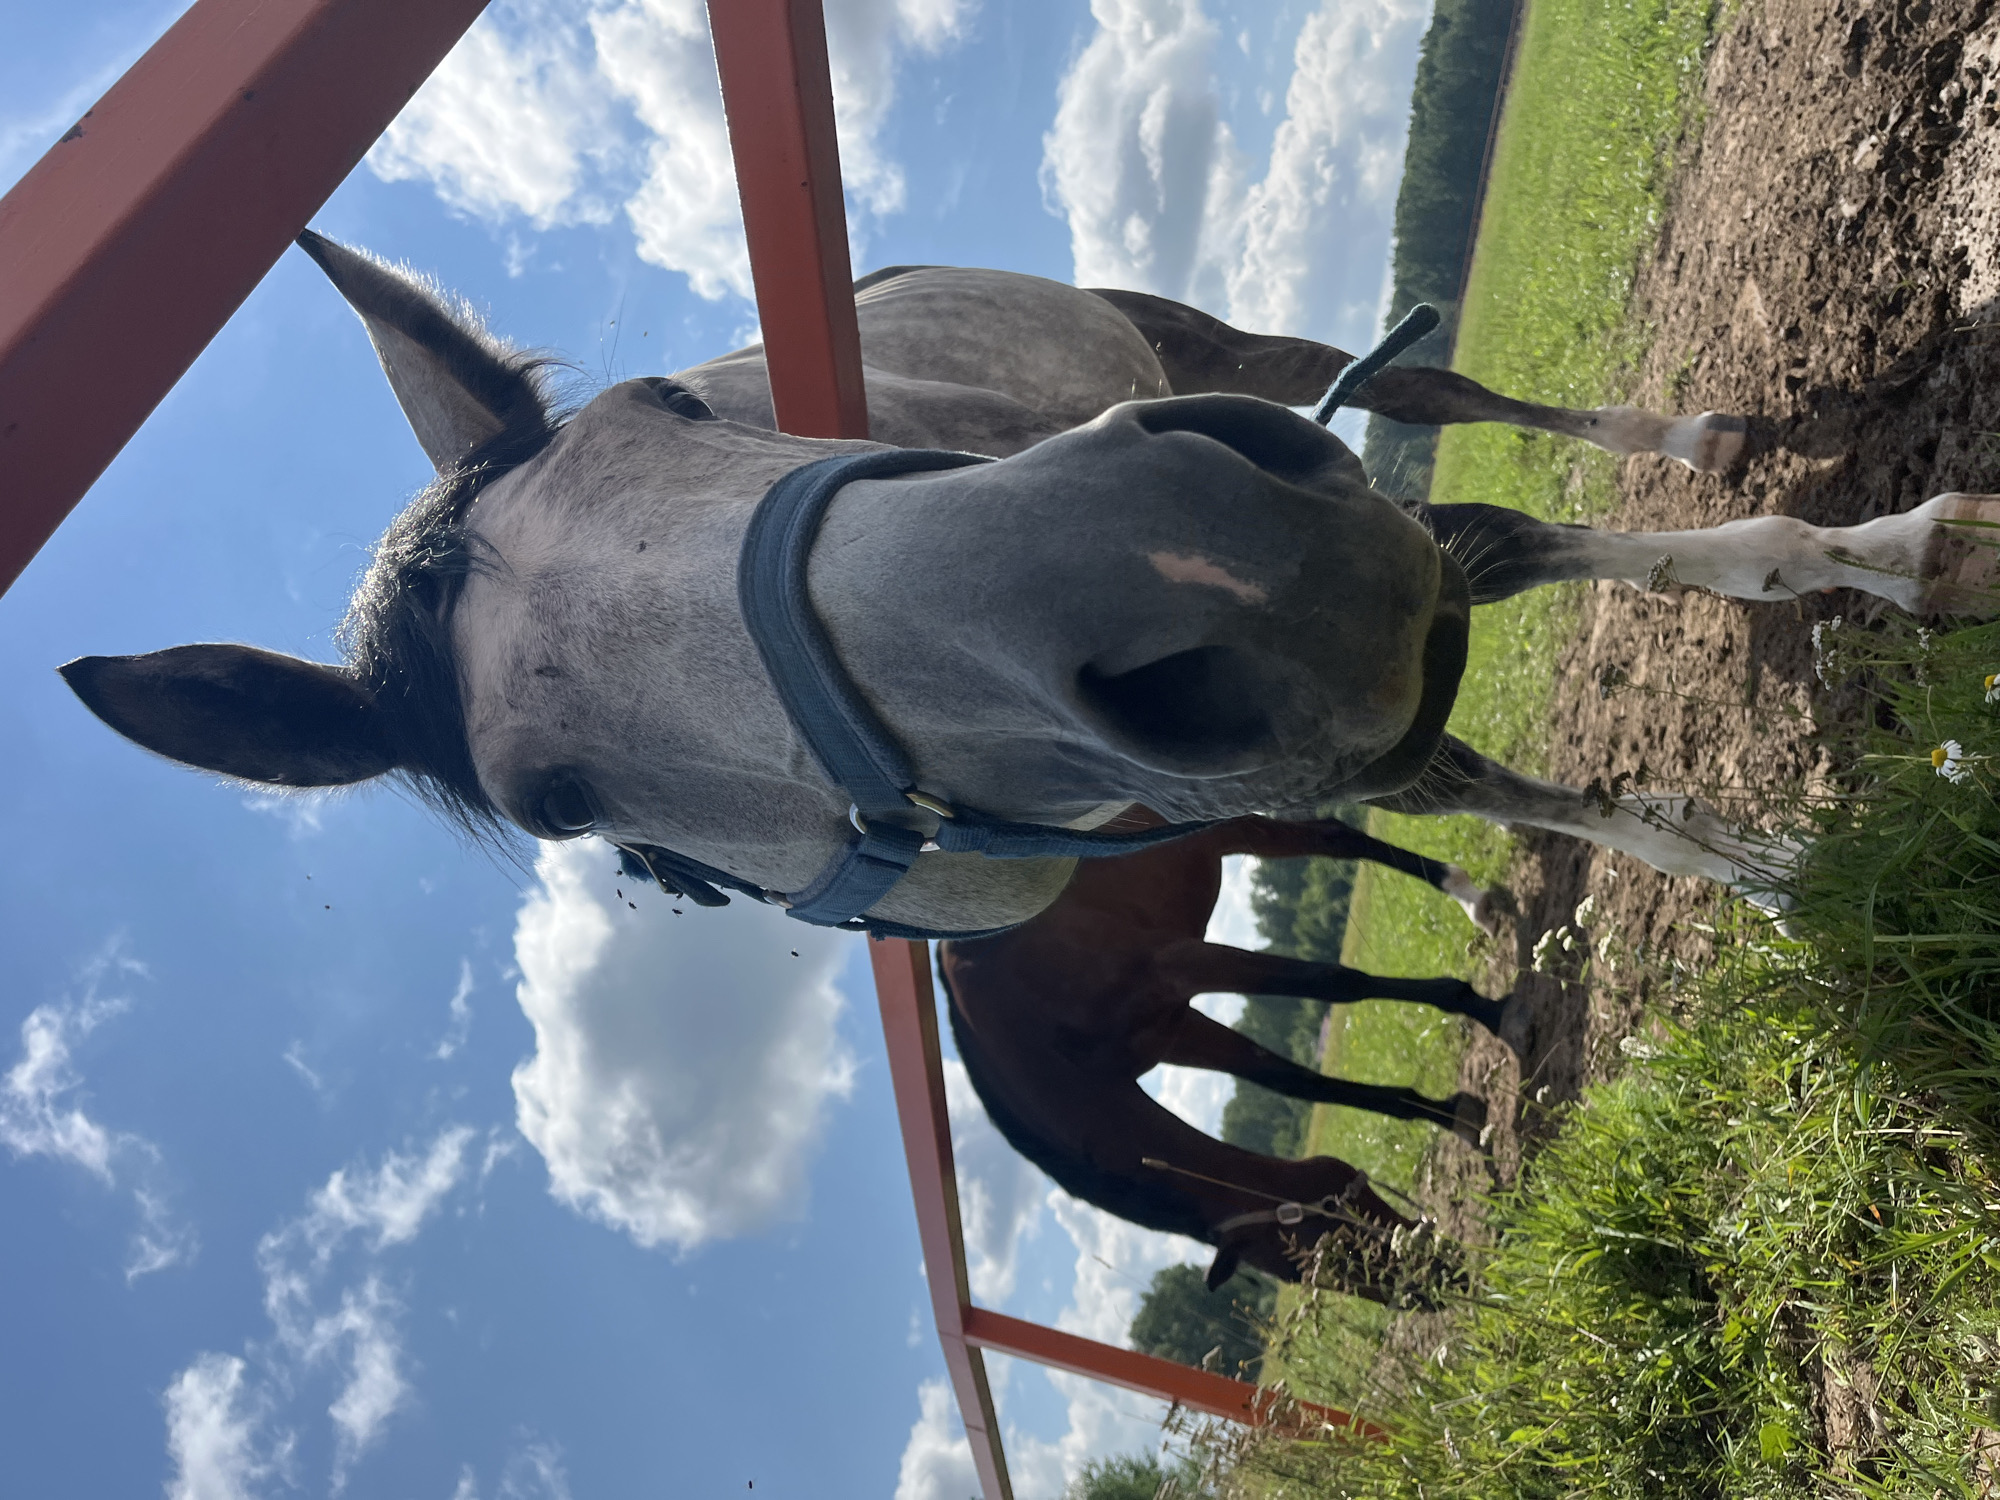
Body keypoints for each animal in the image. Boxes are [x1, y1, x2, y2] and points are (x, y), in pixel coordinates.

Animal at [59, 239, 2000, 937]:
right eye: (560, 806)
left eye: (668, 405)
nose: (1220, 577)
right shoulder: (1313, 743)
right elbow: (1537, 797)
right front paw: (1772, 874)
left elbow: (1575, 545)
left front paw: (1918, 554)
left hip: (1214, 353)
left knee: (1426, 391)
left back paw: (1680, 427)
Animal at [938, 811, 1508, 1297]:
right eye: (1322, 1269)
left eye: (1332, 1246)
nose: (1445, 1287)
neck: (1028, 1024)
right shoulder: (1177, 1032)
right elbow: (1296, 1082)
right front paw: (1455, 1114)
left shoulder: (1178, 965)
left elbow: (1335, 982)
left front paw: (1489, 1009)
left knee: (1334, 837)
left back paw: (1468, 896)